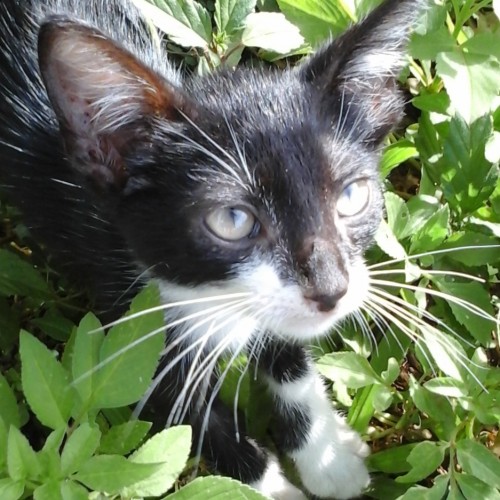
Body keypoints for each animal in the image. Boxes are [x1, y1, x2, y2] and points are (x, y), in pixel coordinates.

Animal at [0, 0, 426, 498]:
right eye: (233, 220)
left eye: (352, 195)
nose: (332, 289)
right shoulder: (124, 308)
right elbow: (193, 419)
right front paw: (277, 483)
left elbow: (286, 351)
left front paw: (329, 455)